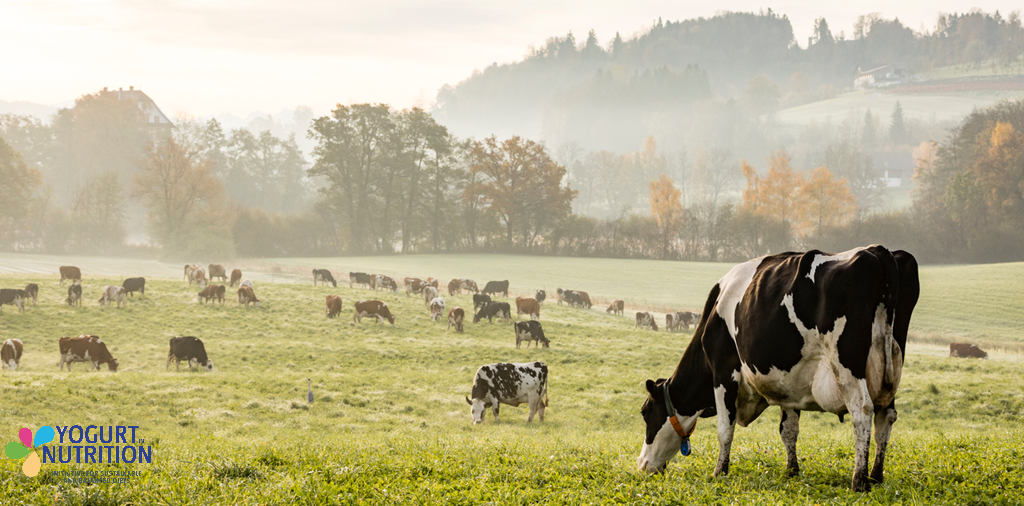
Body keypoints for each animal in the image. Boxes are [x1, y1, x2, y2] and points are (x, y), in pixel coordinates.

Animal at [634, 246, 925, 491]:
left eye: (646, 412)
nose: (642, 464)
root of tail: (877, 251)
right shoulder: (790, 383)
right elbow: (788, 430)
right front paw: (791, 471)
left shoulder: (723, 371)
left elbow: (724, 429)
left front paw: (719, 472)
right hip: (891, 369)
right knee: (885, 416)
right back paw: (876, 476)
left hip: (848, 365)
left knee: (862, 410)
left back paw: (859, 480)